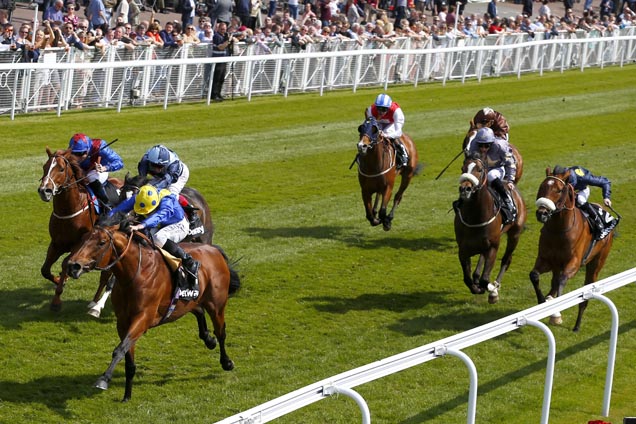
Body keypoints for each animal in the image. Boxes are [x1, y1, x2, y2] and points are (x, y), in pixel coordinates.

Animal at [37, 147, 123, 314]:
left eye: (61, 169)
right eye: (45, 167)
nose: (45, 191)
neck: (68, 210)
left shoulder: (80, 244)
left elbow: (66, 263)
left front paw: (56, 301)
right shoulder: (56, 243)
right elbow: (45, 269)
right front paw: (60, 279)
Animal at [66, 217, 241, 402]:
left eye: (101, 242)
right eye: (83, 239)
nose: (73, 266)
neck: (135, 274)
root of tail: (214, 249)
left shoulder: (143, 318)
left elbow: (120, 349)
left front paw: (104, 379)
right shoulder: (123, 322)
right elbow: (127, 355)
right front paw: (127, 395)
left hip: (216, 304)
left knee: (221, 332)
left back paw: (226, 361)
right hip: (186, 302)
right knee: (198, 311)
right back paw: (208, 339)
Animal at [452, 154, 528, 304]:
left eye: (480, 169)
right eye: (463, 168)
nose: (465, 189)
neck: (475, 217)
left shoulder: (493, 246)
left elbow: (485, 279)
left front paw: (491, 291)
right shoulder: (463, 249)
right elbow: (467, 279)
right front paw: (476, 287)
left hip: (515, 234)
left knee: (506, 260)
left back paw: (495, 286)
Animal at [528, 166, 620, 332]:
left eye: (559, 190)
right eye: (541, 187)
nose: (542, 213)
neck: (558, 229)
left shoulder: (574, 263)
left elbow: (562, 281)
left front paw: (556, 312)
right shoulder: (546, 259)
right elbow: (534, 275)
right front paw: (542, 301)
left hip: (596, 263)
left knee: (584, 296)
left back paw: (577, 325)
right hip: (557, 265)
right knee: (554, 282)